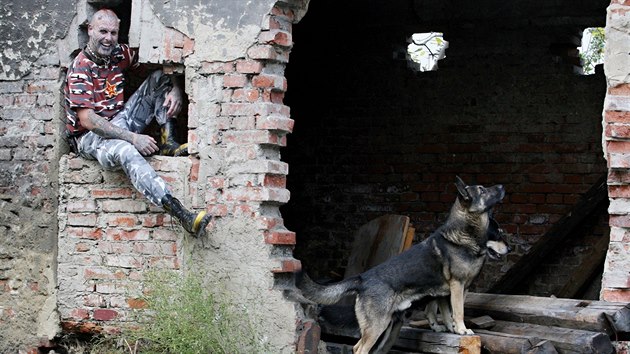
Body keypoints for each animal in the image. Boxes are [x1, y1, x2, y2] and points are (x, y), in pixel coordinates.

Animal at [298, 176, 508, 352]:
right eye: (482, 190)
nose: (502, 186)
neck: (465, 235)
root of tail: (362, 278)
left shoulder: (449, 292)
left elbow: (448, 314)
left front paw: (451, 329)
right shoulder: (457, 286)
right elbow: (458, 311)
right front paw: (462, 330)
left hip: (385, 331)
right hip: (378, 327)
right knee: (359, 349)